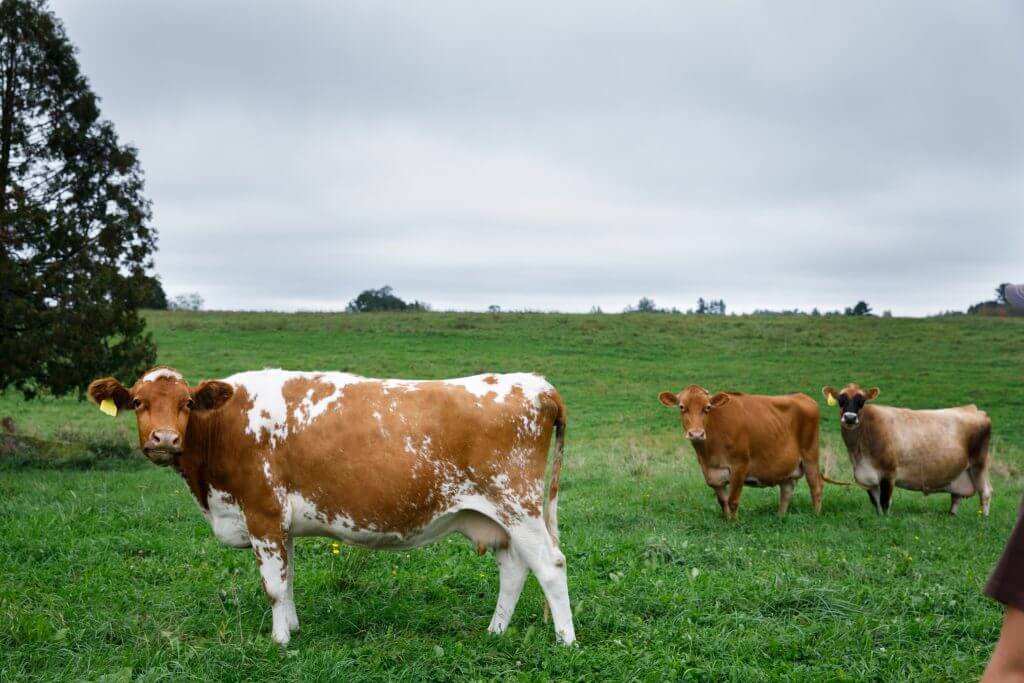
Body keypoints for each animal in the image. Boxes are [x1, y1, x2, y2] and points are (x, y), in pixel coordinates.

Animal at [87, 366, 575, 645]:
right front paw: (293, 628)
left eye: (187, 403)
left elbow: (273, 586)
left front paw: (279, 643)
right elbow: (288, 580)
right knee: (514, 568)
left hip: (518, 505)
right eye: (138, 402)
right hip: (498, 516)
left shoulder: (263, 513)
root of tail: (538, 384)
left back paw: (565, 641)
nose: (165, 439)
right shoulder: (280, 524)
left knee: (549, 564)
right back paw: (495, 632)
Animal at [658, 385, 825, 519]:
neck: (708, 454)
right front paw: (727, 521)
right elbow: (723, 501)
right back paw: (780, 517)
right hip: (787, 467)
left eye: (707, 407)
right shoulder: (713, 474)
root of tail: (800, 395)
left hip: (810, 455)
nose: (696, 434)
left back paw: (815, 515)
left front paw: (734, 524)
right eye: (681, 407)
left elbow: (732, 500)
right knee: (786, 491)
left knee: (816, 487)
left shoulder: (740, 465)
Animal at [822, 383, 992, 516]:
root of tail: (973, 409)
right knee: (956, 497)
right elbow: (876, 504)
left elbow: (885, 503)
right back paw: (952, 515)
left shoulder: (889, 473)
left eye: (862, 401)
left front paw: (885, 521)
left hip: (979, 464)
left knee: (986, 492)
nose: (850, 418)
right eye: (840, 400)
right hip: (960, 472)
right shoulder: (867, 478)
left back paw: (983, 520)